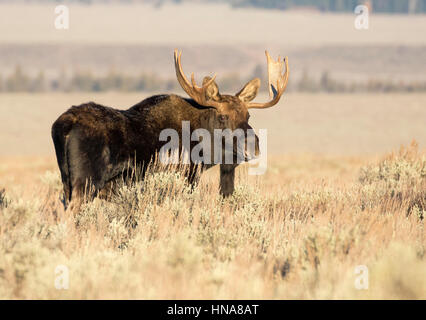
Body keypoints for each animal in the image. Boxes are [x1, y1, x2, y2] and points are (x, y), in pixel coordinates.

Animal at [51, 48, 288, 206]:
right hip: (84, 184)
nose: (252, 147)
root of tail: (62, 125)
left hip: (67, 183)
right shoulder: (187, 177)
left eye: (248, 115)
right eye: (222, 116)